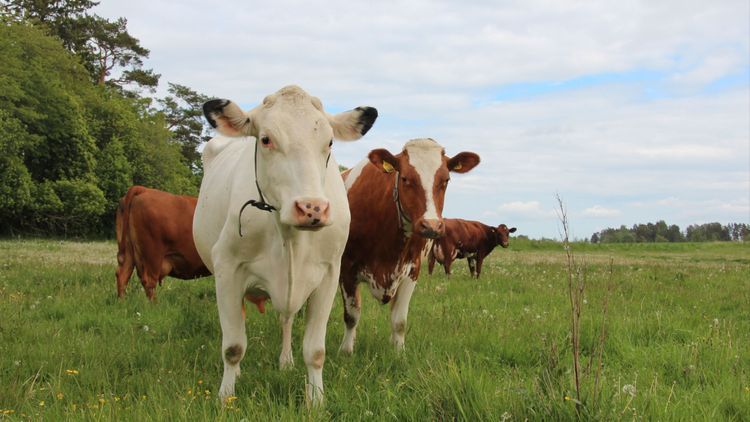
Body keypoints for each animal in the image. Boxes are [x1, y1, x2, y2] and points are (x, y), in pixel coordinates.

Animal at [114, 186, 267, 313]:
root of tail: (143, 189)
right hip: (152, 255)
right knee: (148, 282)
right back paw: (155, 308)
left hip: (129, 252)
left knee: (122, 275)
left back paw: (122, 304)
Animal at [193, 85, 377, 405]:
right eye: (266, 139)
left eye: (329, 141)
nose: (312, 208)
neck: (290, 239)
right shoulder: (227, 269)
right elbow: (233, 346)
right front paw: (225, 397)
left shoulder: (330, 274)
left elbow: (316, 351)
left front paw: (316, 400)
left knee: (286, 319)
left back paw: (286, 362)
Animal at [339, 138, 480, 354]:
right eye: (405, 178)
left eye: (446, 180)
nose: (431, 225)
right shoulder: (346, 268)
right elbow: (351, 316)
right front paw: (346, 352)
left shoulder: (412, 271)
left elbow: (399, 321)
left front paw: (398, 352)